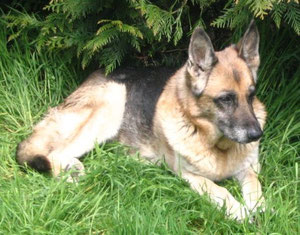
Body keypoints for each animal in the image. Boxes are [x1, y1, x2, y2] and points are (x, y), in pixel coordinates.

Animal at [16, 20, 266, 220]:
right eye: (225, 99)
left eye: (251, 95)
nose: (257, 134)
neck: (217, 145)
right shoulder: (189, 175)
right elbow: (220, 190)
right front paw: (240, 211)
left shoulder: (247, 169)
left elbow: (255, 183)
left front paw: (259, 208)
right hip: (113, 102)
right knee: (54, 154)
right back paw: (71, 179)